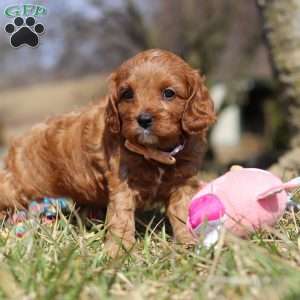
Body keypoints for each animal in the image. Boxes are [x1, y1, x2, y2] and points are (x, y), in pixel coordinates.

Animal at [0, 49, 216, 255]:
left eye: (169, 93)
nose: (143, 120)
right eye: (127, 94)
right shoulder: (122, 180)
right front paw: (118, 251)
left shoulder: (183, 183)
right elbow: (121, 217)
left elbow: (183, 213)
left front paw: (189, 244)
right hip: (19, 186)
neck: (155, 152)